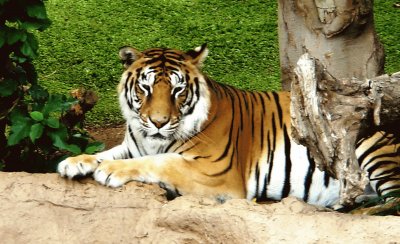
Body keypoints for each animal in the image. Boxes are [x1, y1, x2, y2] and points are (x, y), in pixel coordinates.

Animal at [57, 43, 400, 208]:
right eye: (146, 88)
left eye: (178, 90)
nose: (158, 122)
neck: (149, 137)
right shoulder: (132, 146)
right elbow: (105, 153)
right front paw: (75, 161)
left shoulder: (216, 173)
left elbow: (160, 161)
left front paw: (110, 172)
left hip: (370, 145)